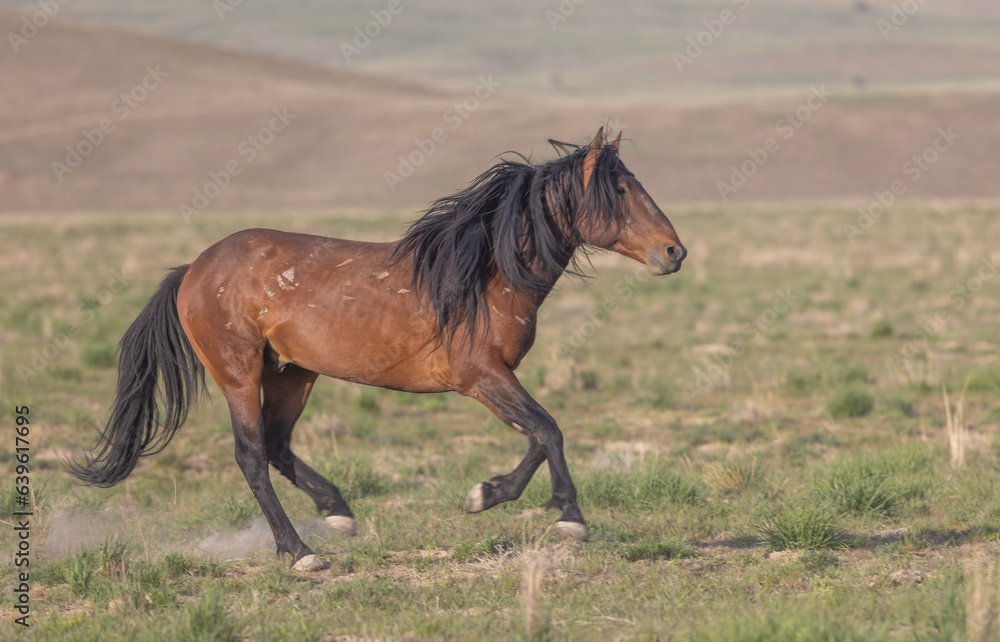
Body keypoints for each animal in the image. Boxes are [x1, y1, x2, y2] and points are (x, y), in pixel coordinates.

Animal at [68, 127, 687, 571]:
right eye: (621, 190)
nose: (674, 252)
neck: (487, 274)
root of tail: (193, 269)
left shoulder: (493, 380)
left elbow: (538, 436)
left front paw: (486, 494)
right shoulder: (482, 377)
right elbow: (549, 431)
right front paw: (566, 517)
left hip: (293, 374)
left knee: (276, 445)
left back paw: (337, 514)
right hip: (238, 374)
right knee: (251, 456)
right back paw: (300, 553)